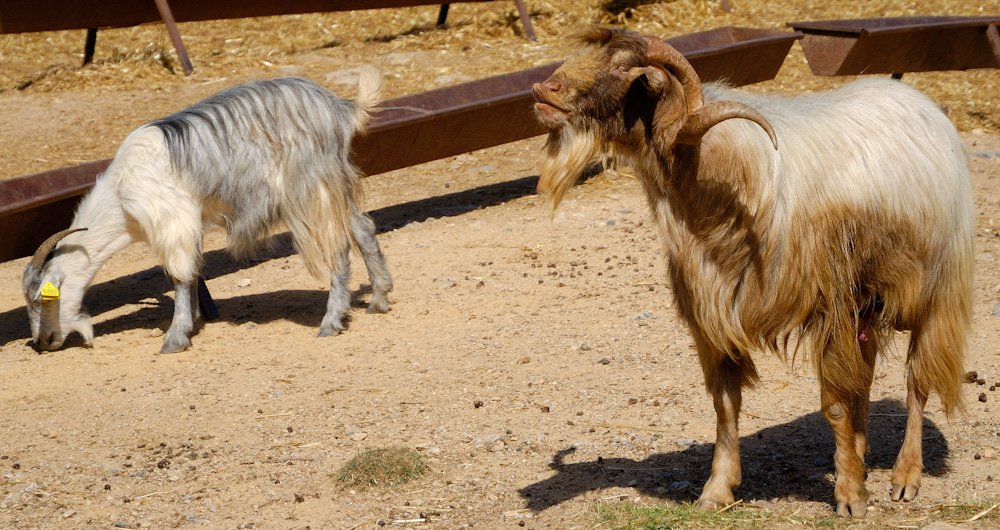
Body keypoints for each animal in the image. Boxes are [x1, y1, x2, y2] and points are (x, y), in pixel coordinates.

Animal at [21, 68, 392, 352]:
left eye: (40, 298)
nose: (43, 342)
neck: (120, 195)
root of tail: (341, 108)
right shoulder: (189, 224)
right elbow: (193, 272)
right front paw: (195, 317)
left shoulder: (173, 223)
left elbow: (180, 275)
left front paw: (176, 336)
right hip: (335, 185)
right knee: (362, 228)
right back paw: (379, 298)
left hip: (311, 190)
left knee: (337, 246)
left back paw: (332, 320)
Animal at [536, 24, 972, 516]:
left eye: (624, 68)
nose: (545, 91)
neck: (718, 178)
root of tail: (918, 100)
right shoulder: (713, 312)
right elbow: (726, 404)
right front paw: (716, 490)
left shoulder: (829, 303)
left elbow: (835, 404)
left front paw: (849, 497)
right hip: (866, 300)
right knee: (866, 376)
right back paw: (860, 455)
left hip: (935, 288)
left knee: (918, 381)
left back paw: (904, 476)